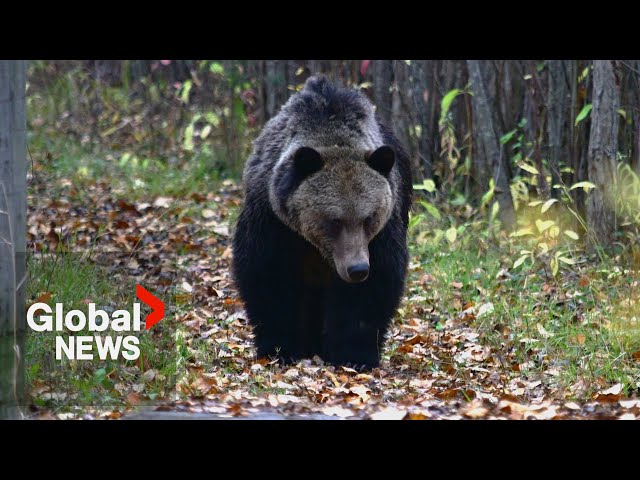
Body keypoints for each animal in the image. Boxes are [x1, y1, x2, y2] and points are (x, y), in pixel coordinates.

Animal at [232, 75, 412, 370]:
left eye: (369, 217)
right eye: (334, 220)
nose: (357, 269)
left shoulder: (382, 234)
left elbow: (372, 288)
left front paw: (355, 354)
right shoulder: (273, 221)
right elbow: (270, 276)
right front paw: (281, 348)